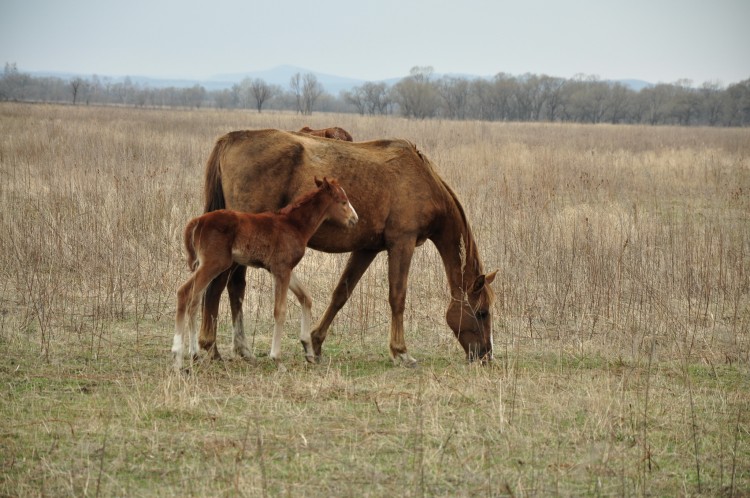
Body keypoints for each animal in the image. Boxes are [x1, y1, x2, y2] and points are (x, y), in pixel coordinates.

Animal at [173, 176, 358, 370]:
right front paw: (277, 359)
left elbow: (305, 298)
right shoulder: (282, 270)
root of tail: (197, 221)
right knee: (184, 293)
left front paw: (308, 350)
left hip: (206, 265)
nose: (355, 219)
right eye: (343, 201)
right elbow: (280, 310)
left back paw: (194, 354)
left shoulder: (283, 269)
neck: (294, 225)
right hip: (214, 263)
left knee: (194, 299)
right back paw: (178, 358)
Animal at [200, 130, 496, 368]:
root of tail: (231, 139)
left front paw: (315, 343)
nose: (485, 356)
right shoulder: (402, 243)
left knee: (232, 286)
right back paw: (211, 347)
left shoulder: (366, 249)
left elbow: (341, 294)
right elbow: (397, 297)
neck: (421, 178)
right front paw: (401, 352)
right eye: (482, 312)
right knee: (221, 285)